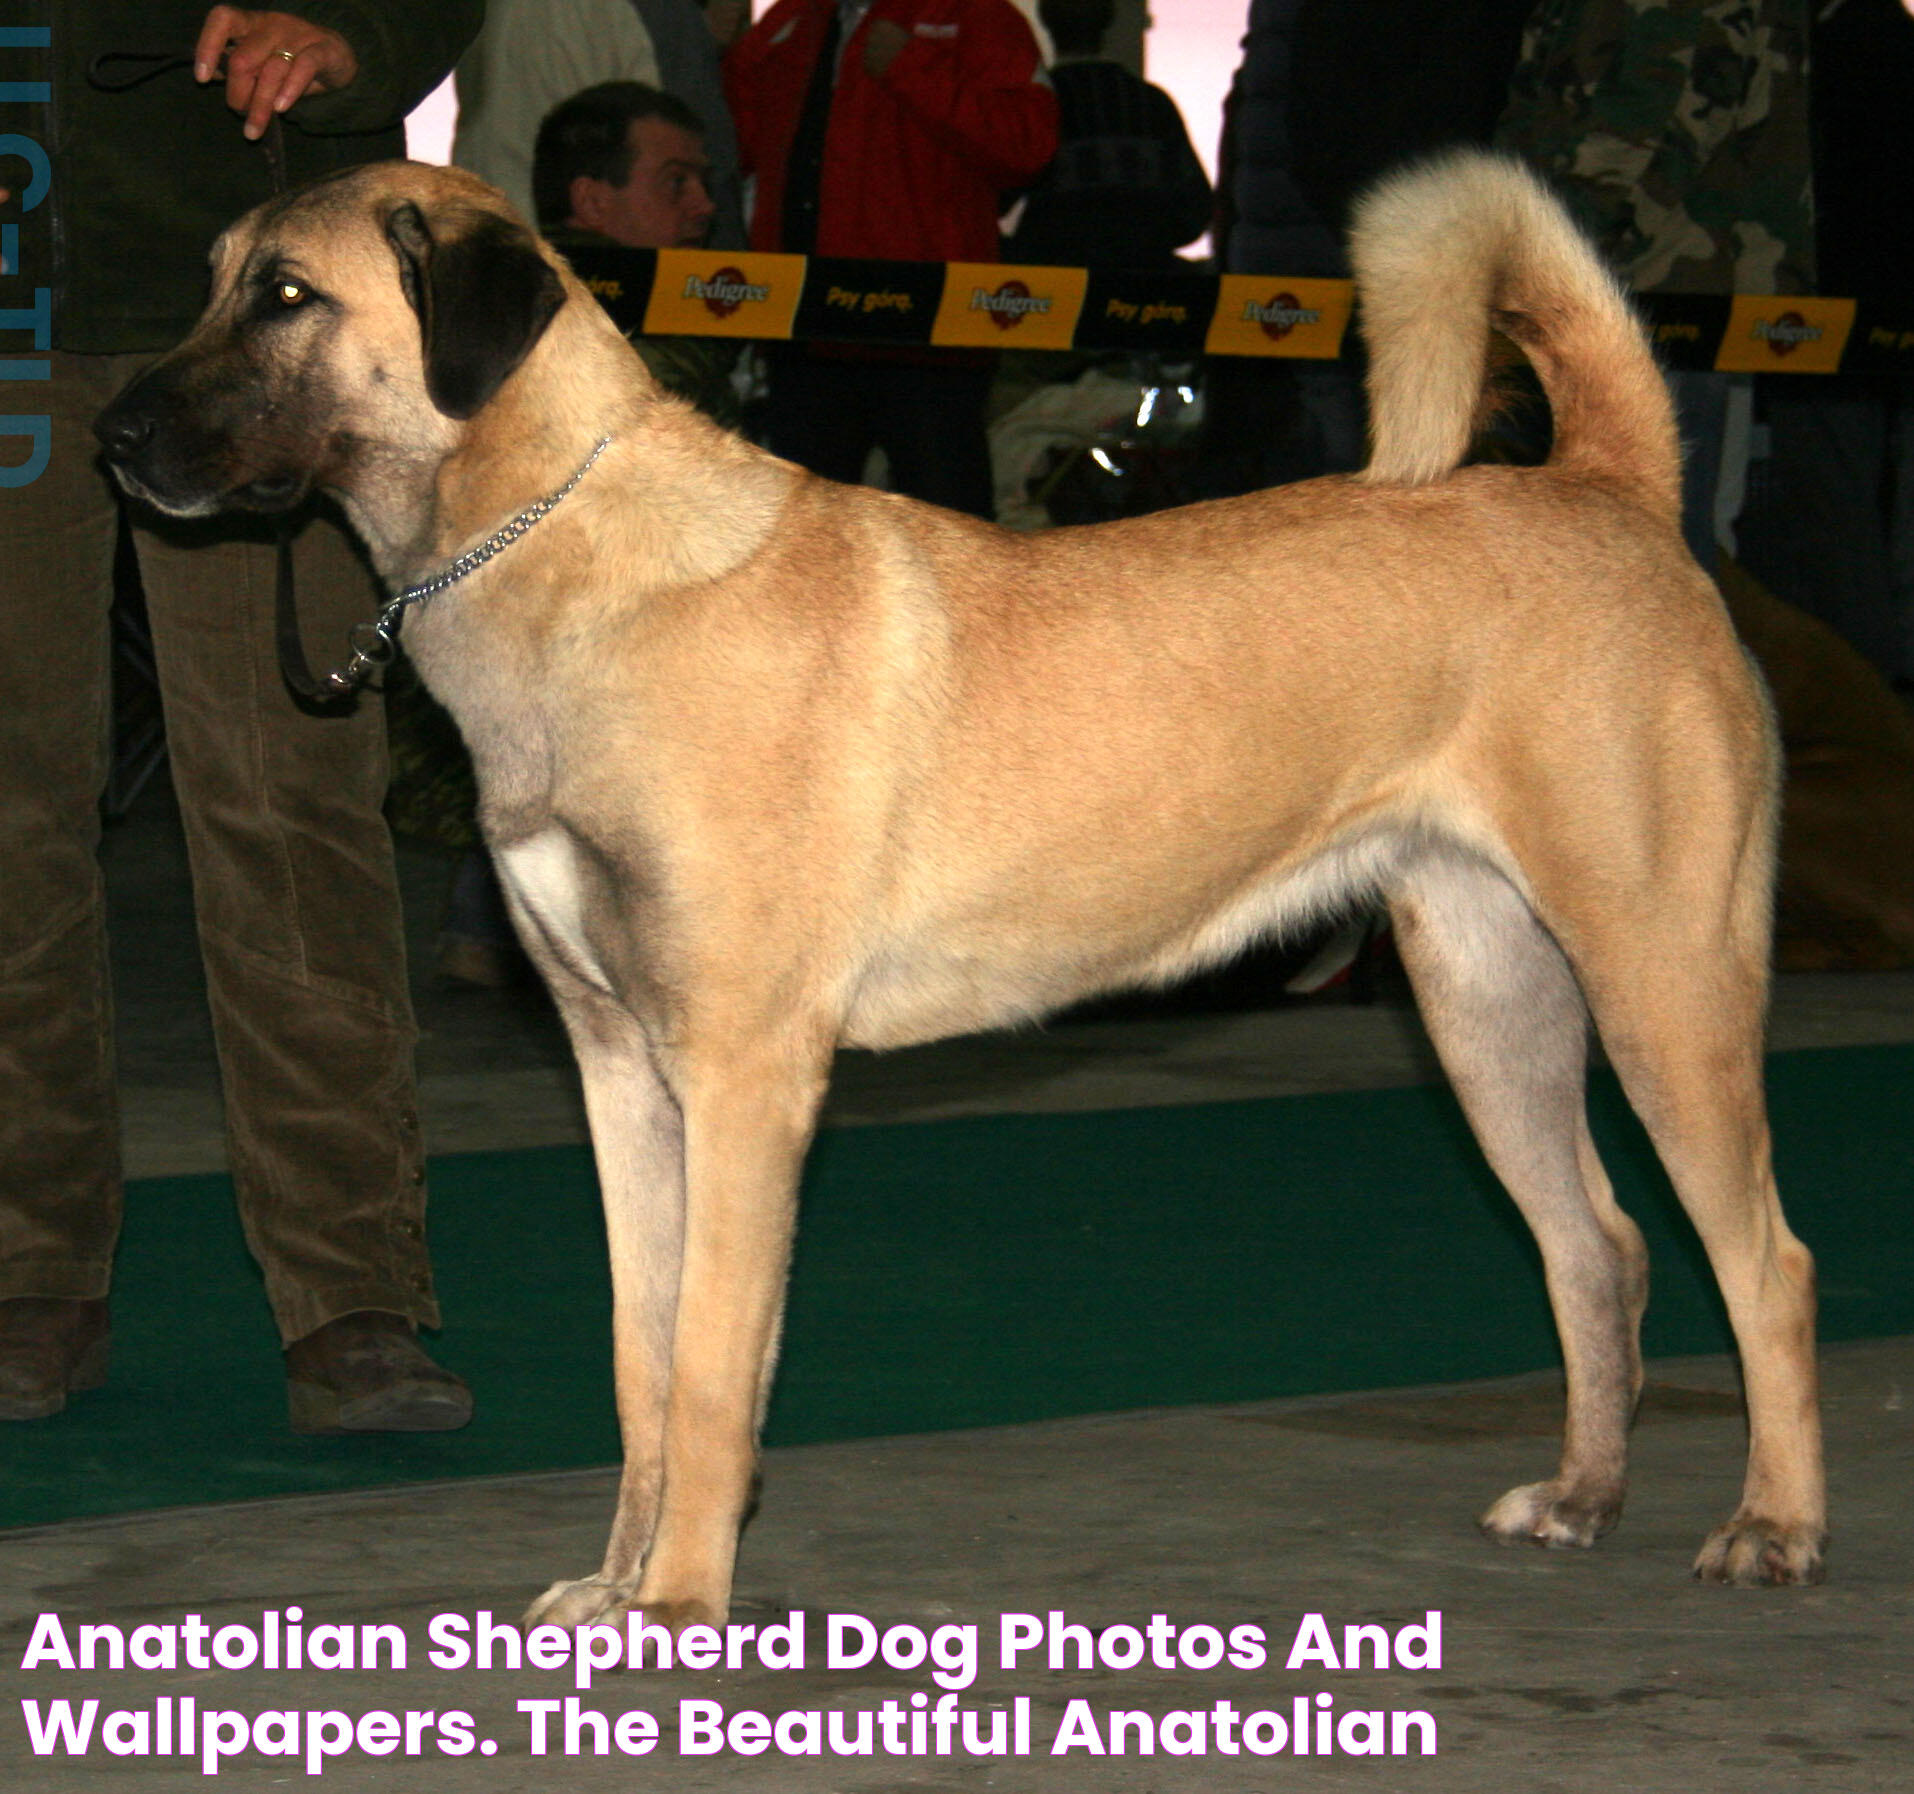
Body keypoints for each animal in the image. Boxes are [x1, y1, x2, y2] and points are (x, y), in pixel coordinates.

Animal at [97, 147, 1829, 1615]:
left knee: (1765, 1261)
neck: (559, 544)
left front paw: (681, 1601)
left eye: (289, 295)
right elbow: (643, 1356)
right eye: (216, 277)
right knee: (1595, 1243)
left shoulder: (740, 1072)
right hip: (1487, 999)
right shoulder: (621, 1069)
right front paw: (617, 1577)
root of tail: (1609, 488)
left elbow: (713, 1360)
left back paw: (1773, 1523)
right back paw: (1583, 1494)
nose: (110, 438)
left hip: (1661, 977)